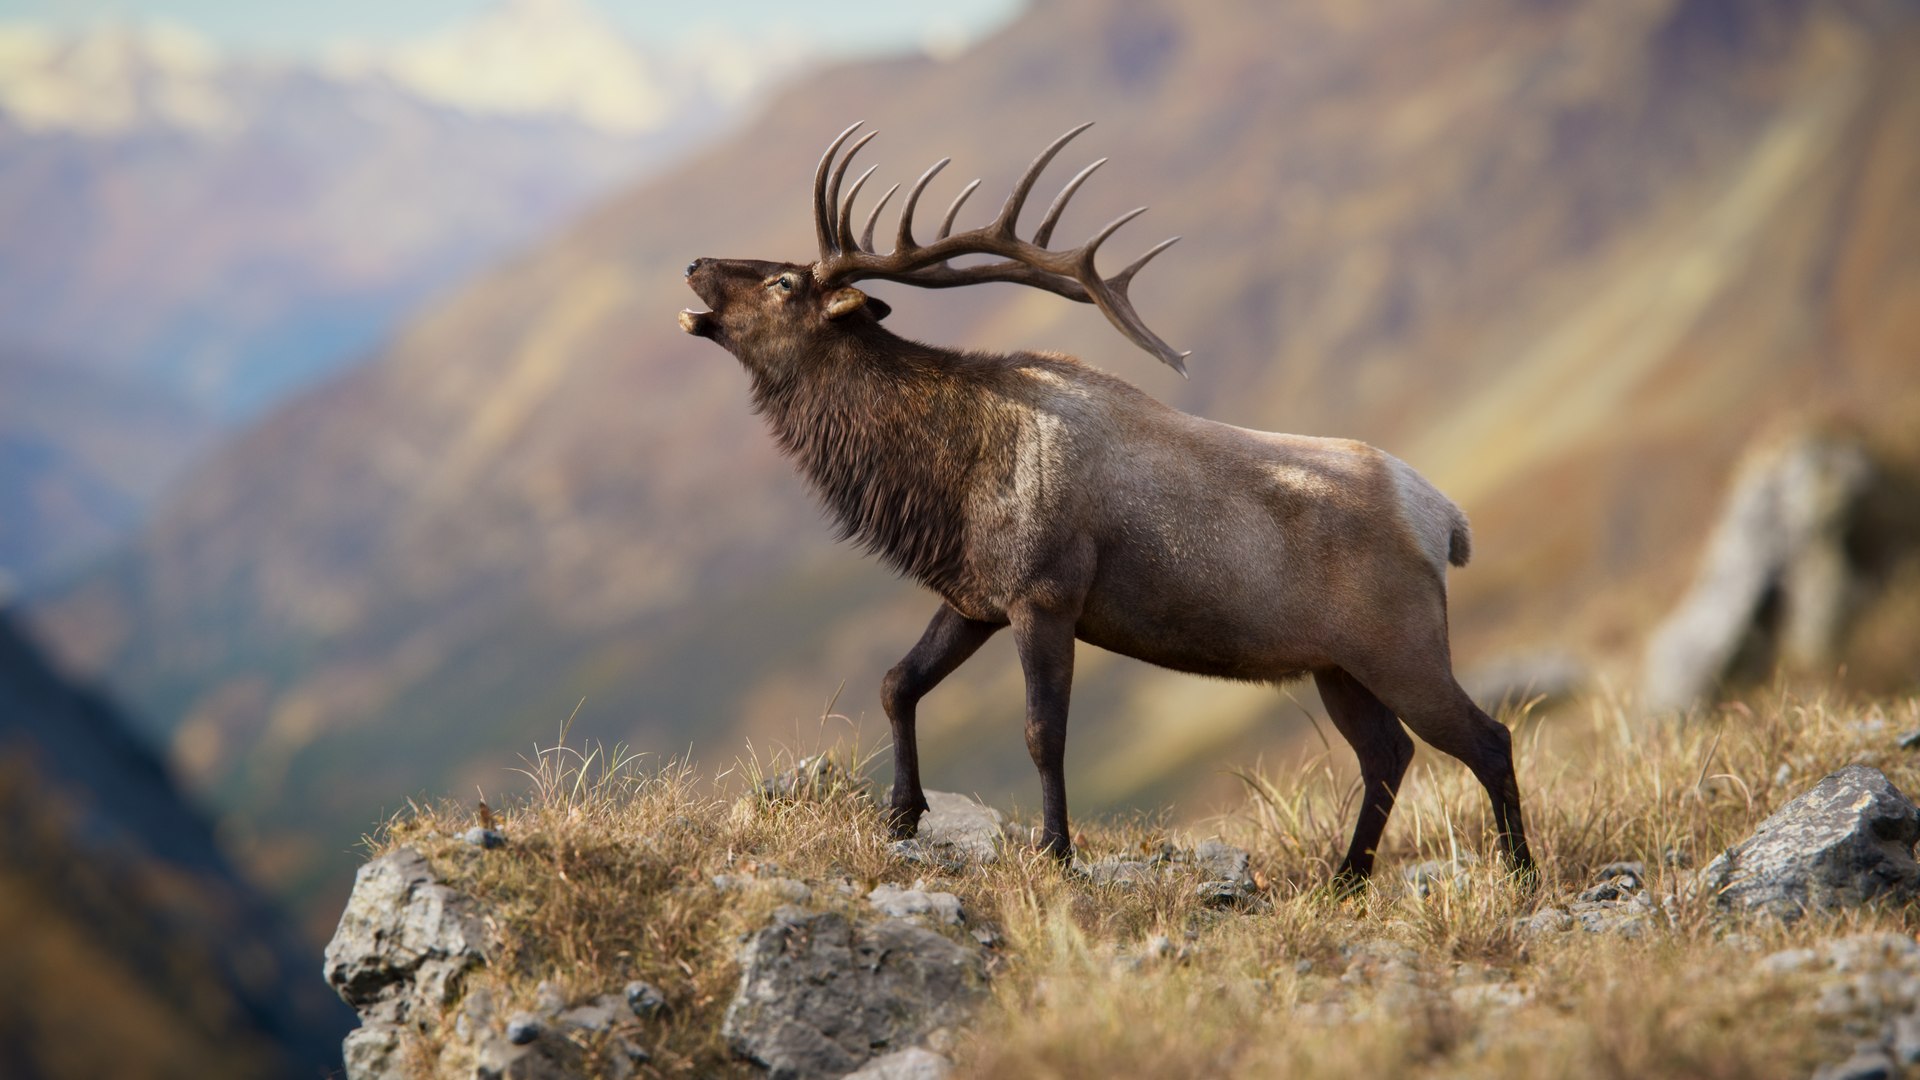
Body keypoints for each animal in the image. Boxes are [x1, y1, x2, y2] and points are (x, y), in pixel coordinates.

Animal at [679, 122, 1533, 888]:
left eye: (785, 282)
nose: (694, 262)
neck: (940, 483)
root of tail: (1446, 520)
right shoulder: (974, 597)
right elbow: (897, 682)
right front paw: (901, 816)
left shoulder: (1046, 593)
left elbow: (1042, 733)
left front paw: (1056, 852)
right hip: (1338, 665)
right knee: (1387, 753)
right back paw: (1345, 879)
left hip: (1401, 644)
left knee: (1487, 737)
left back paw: (1518, 873)